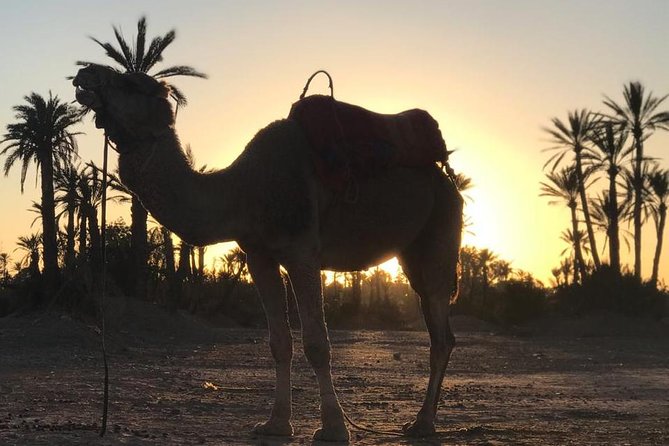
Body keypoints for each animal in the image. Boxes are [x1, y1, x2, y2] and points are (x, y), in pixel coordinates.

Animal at [73, 64, 463, 442]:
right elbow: (279, 342)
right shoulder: (258, 256)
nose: (84, 74)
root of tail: (448, 179)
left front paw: (334, 428)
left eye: (131, 84)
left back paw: (423, 423)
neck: (244, 189)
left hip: (441, 231)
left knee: (441, 331)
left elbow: (316, 343)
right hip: (412, 253)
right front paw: (275, 423)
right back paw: (421, 421)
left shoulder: (302, 251)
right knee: (438, 328)